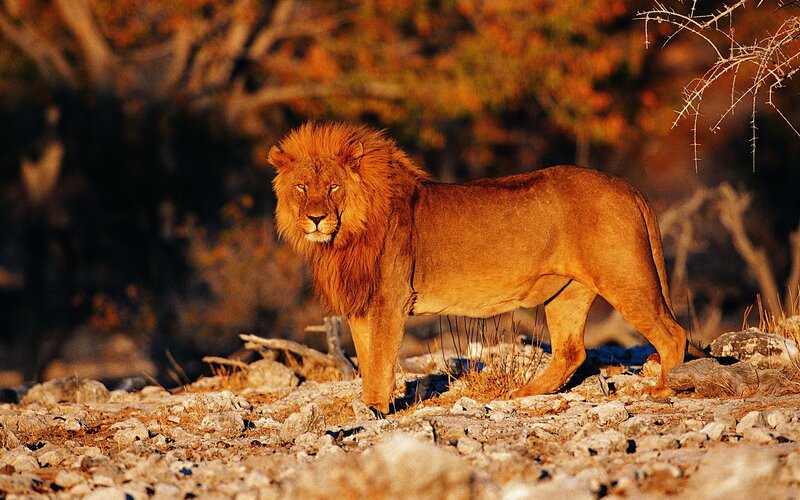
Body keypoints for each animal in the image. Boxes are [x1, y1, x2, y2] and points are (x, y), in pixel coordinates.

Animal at [268, 122, 686, 414]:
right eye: (302, 187)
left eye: (334, 187)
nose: (317, 219)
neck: (345, 236)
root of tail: (627, 187)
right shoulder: (362, 303)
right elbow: (367, 357)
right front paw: (370, 404)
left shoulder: (391, 298)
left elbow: (381, 358)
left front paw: (374, 408)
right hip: (567, 292)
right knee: (572, 351)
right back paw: (525, 393)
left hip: (624, 278)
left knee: (674, 334)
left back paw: (666, 388)